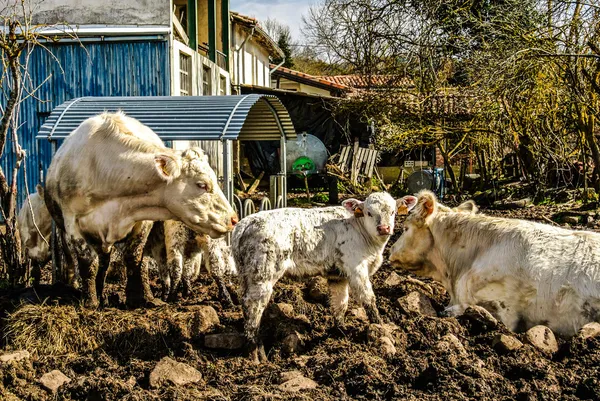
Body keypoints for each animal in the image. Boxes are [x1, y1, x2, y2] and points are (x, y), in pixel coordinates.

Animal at [45, 111, 237, 308]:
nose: (233, 218)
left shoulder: (142, 220)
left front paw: (140, 297)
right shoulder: (73, 224)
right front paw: (90, 301)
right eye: (202, 184)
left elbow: (135, 257)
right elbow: (88, 263)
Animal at [232, 191, 414, 362]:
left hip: (247, 275)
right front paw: (382, 330)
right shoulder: (357, 268)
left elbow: (340, 304)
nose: (384, 228)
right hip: (263, 274)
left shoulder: (338, 276)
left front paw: (341, 333)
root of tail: (247, 222)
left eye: (393, 211)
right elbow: (369, 300)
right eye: (368, 212)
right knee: (253, 308)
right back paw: (257, 357)